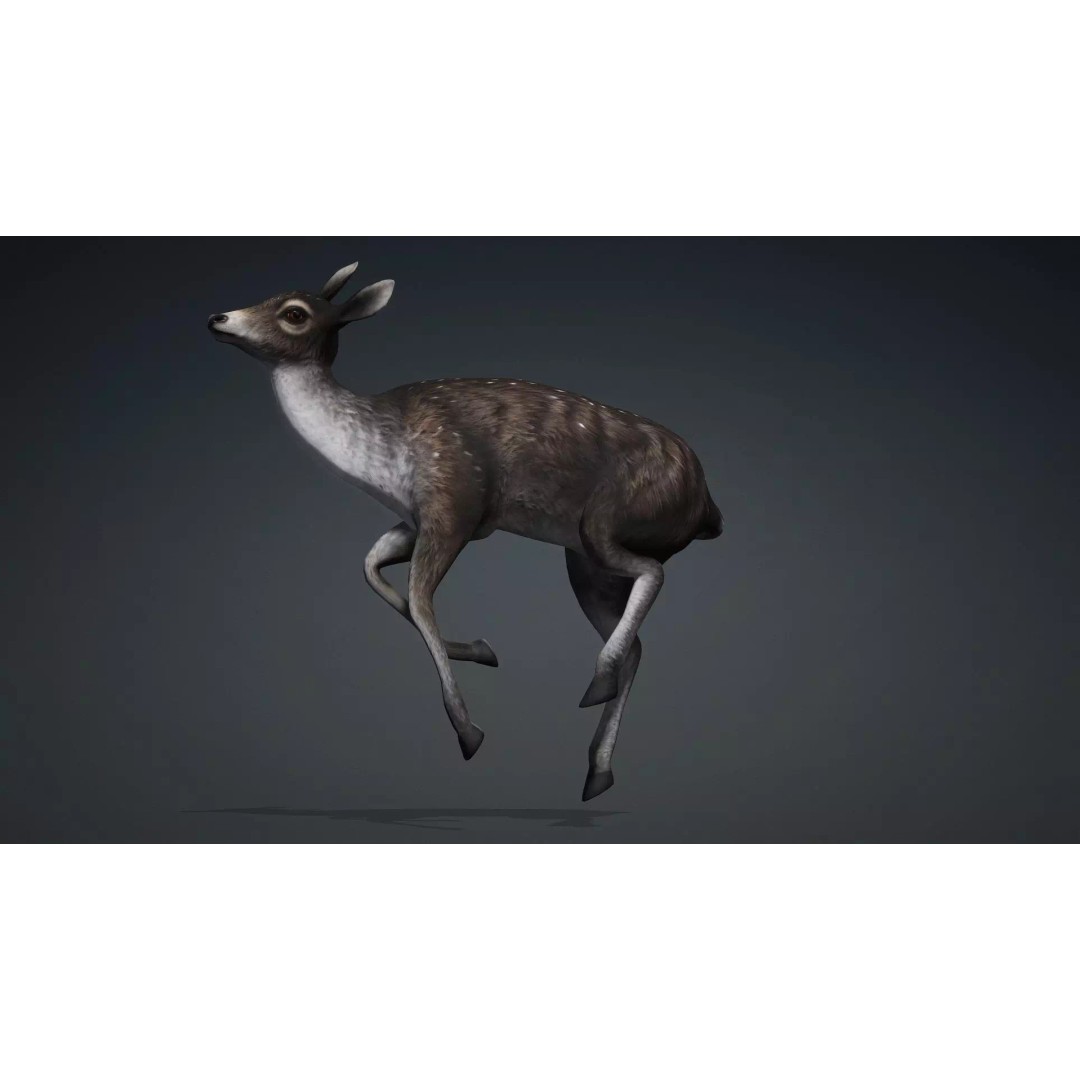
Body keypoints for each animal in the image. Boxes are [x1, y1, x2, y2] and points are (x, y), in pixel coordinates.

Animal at [208, 261, 723, 800]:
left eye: (294, 313)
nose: (217, 318)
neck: (384, 456)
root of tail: (707, 504)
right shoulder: (425, 521)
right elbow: (372, 567)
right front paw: (480, 650)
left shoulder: (454, 504)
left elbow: (419, 600)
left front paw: (468, 731)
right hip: (583, 561)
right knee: (639, 639)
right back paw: (598, 769)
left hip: (604, 523)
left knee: (652, 574)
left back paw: (596, 684)